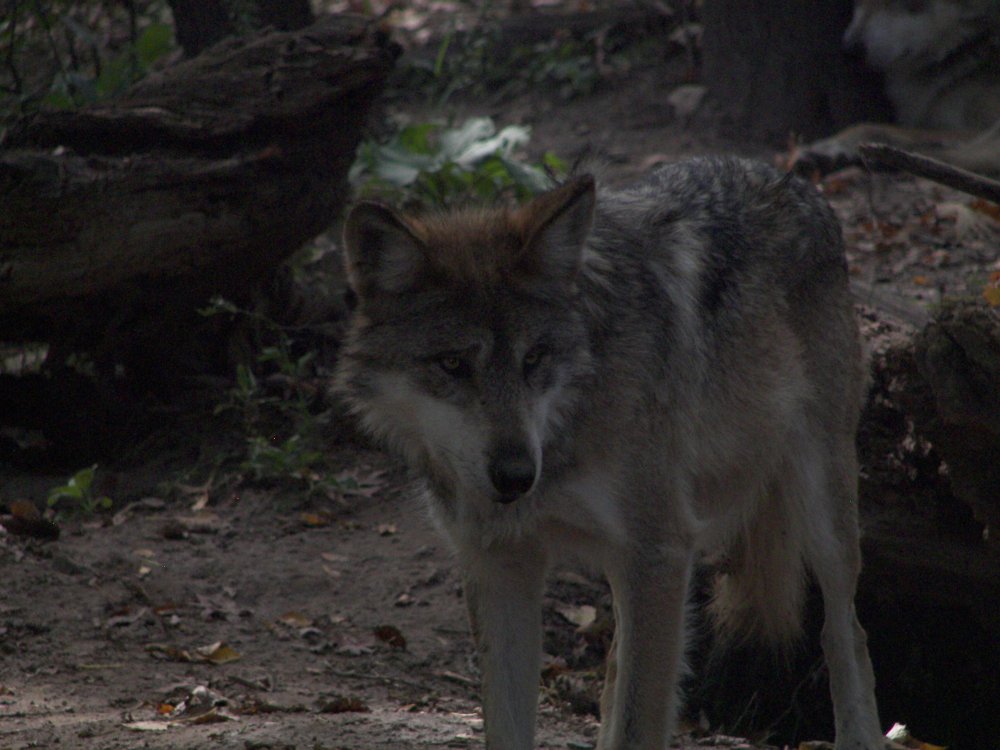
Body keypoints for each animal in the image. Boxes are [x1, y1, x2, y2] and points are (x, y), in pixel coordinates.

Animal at [334, 156, 884, 748]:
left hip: (819, 513)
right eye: (453, 365)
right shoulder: (500, 566)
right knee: (618, 665)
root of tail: (793, 178)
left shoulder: (659, 551)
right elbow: (511, 724)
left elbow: (640, 724)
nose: (516, 476)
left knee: (846, 633)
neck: (567, 429)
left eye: (535, 358)